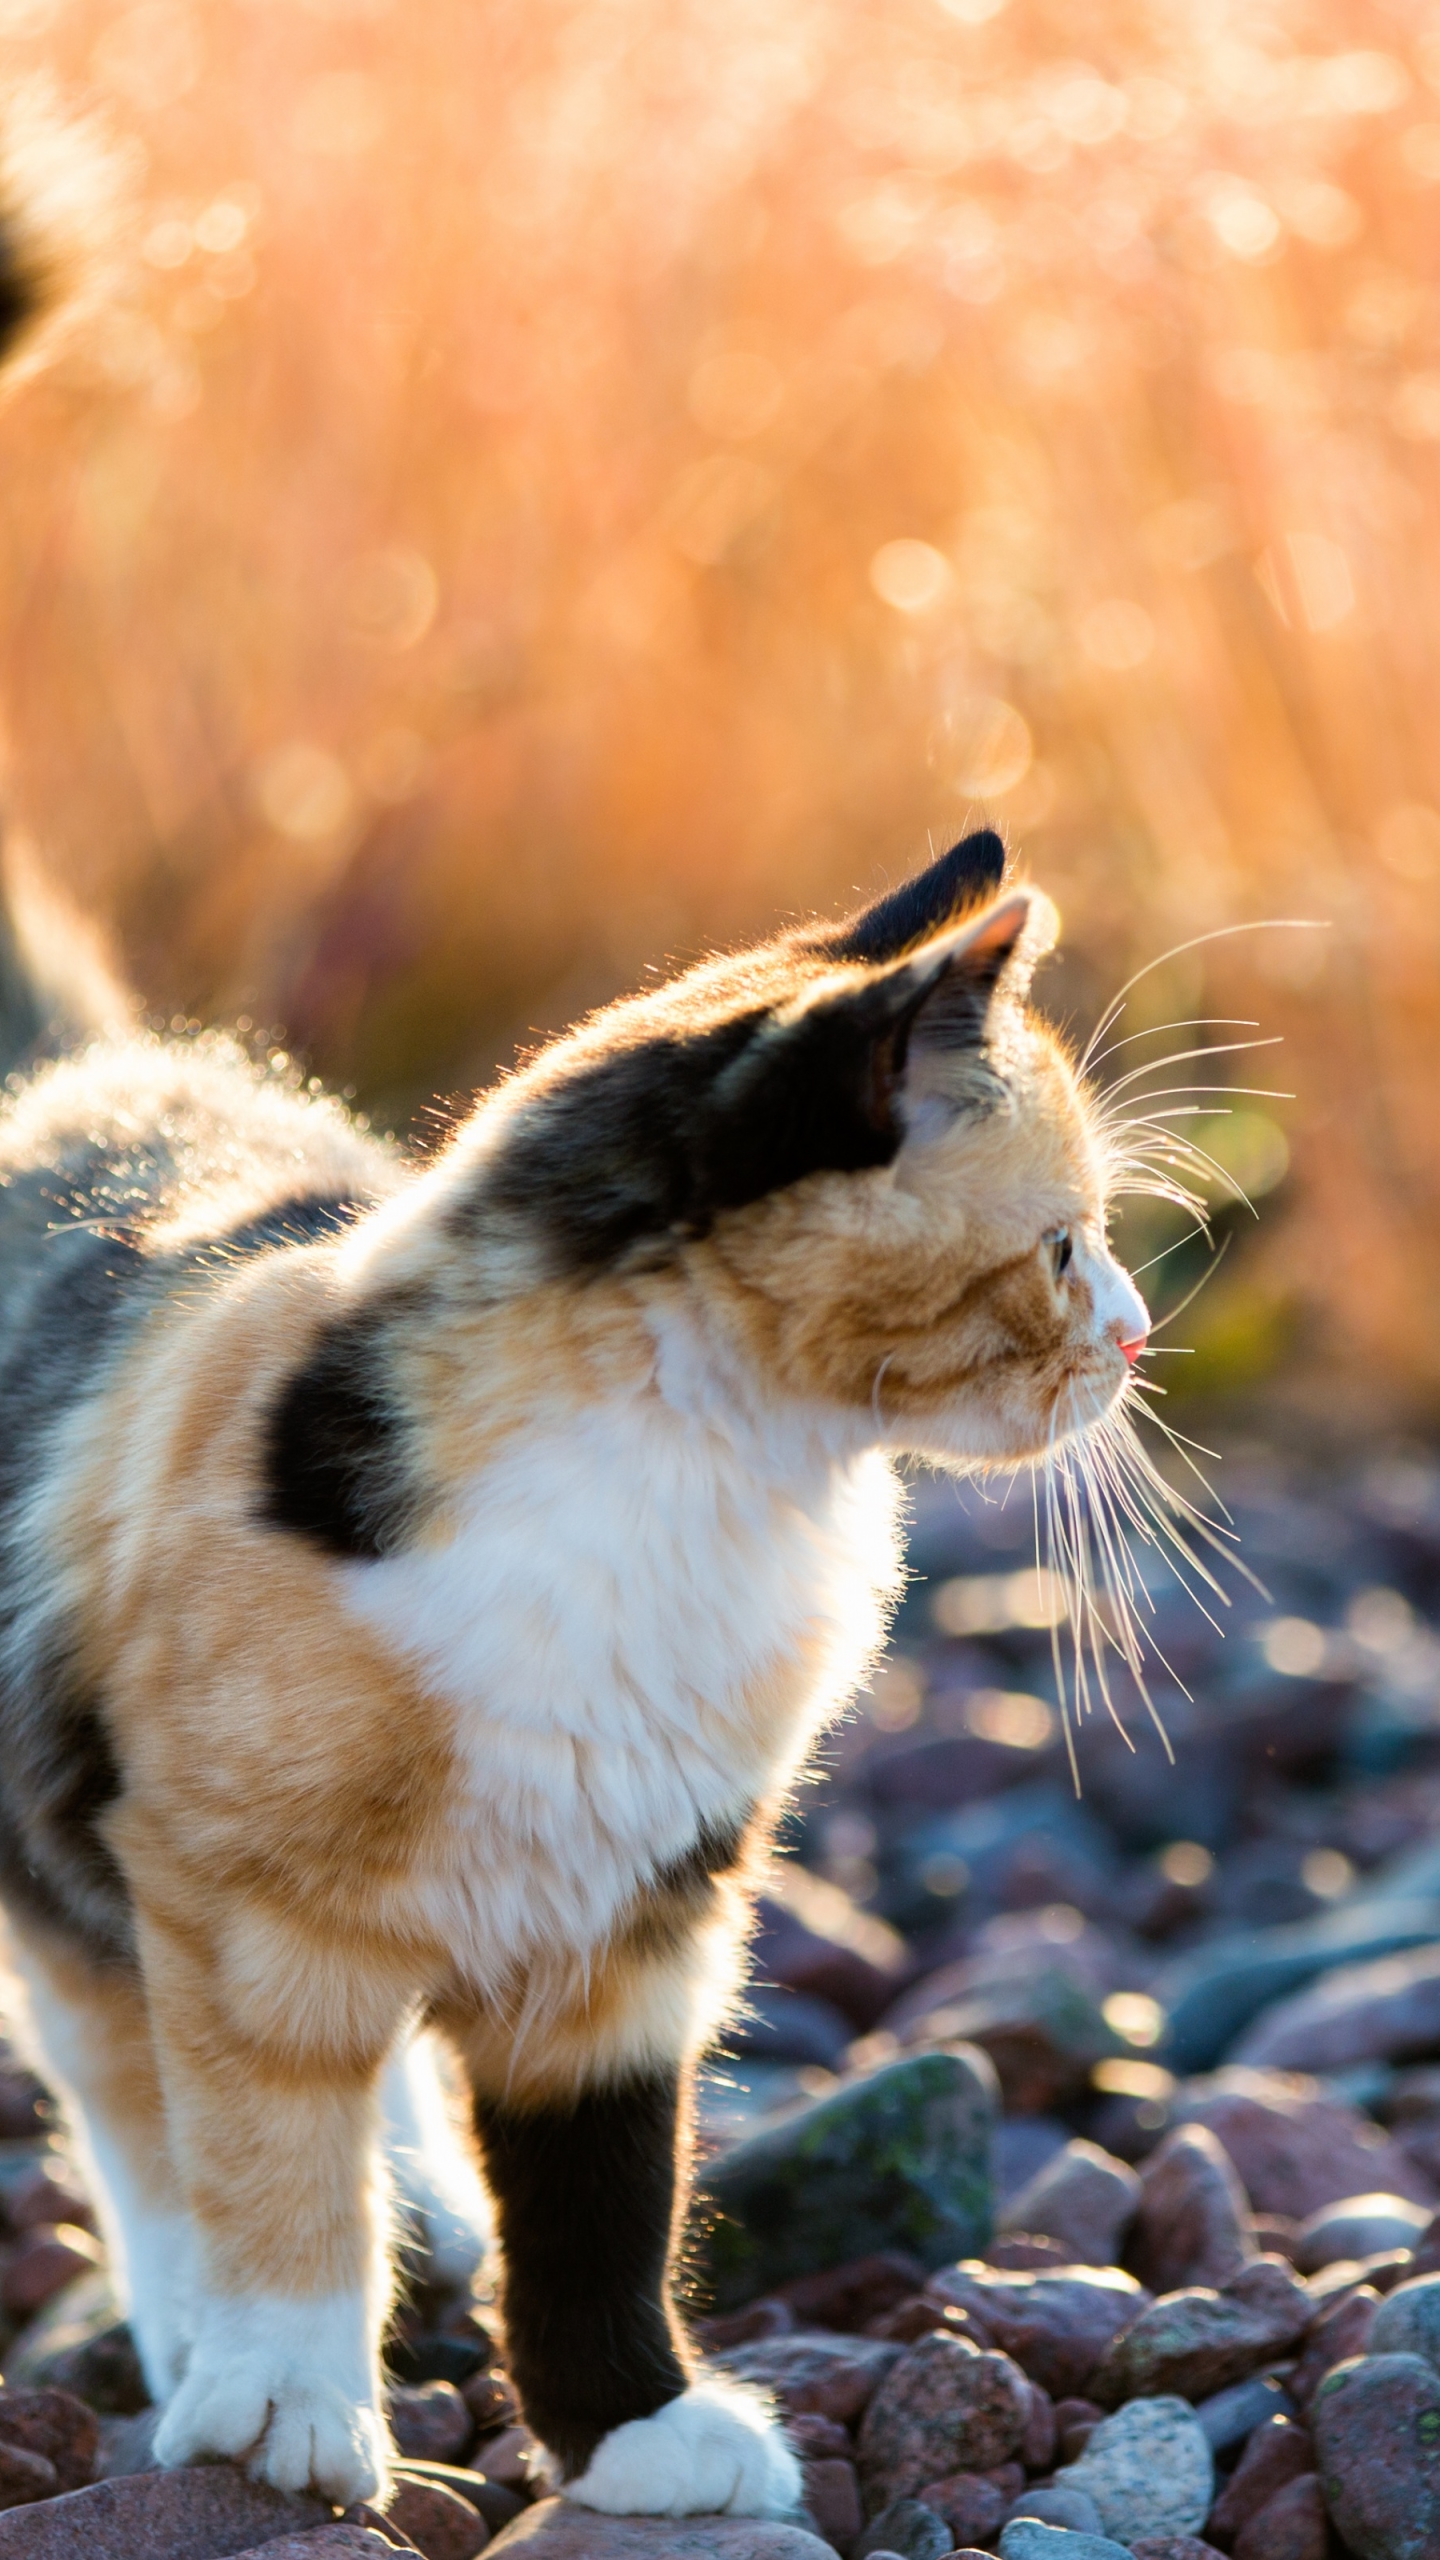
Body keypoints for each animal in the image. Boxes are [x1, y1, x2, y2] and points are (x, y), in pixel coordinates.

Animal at [0, 209, 1142, 2508]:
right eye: (1066, 1245)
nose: (1142, 1335)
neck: (699, 1484)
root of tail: (94, 1082)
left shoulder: (639, 1919)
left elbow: (604, 2192)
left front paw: (637, 2425)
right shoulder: (226, 1898)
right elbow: (259, 2153)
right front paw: (286, 2407)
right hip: (63, 1848)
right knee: (131, 2103)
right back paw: (204, 2344)